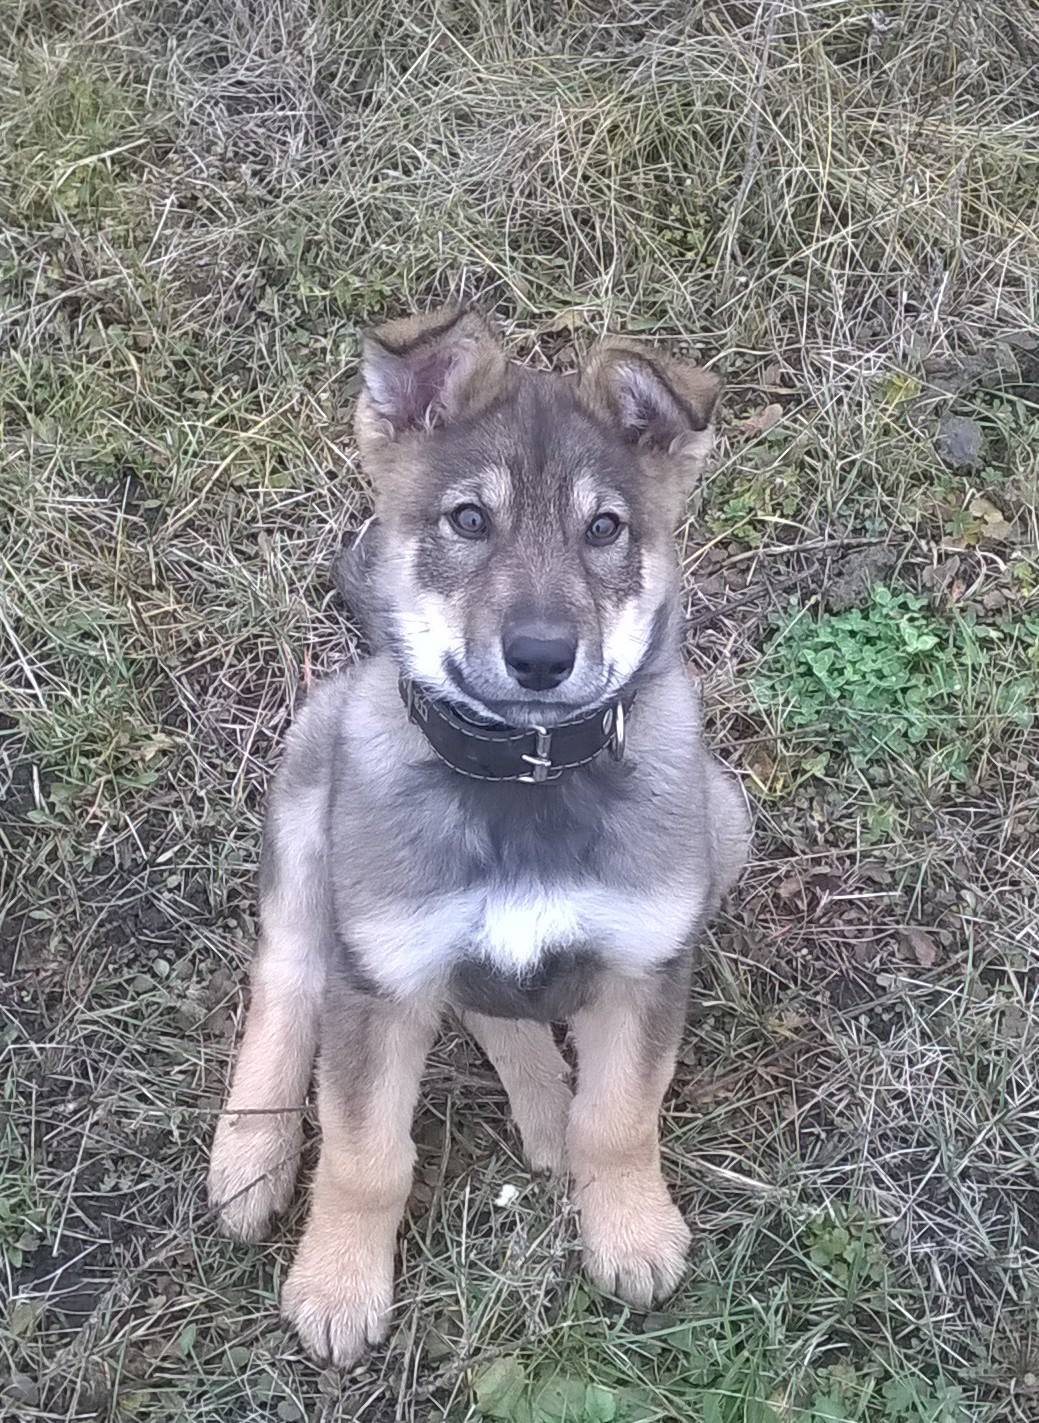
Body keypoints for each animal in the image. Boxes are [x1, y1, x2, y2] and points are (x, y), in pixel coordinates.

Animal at [207, 308, 745, 1366]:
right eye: (467, 520)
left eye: (604, 528)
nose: (541, 657)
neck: (523, 775)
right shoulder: (376, 980)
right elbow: (364, 1153)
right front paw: (336, 1286)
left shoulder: (645, 961)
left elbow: (620, 1116)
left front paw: (629, 1230)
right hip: (310, 808)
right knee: (287, 978)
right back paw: (250, 1155)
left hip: (725, 815)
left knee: (495, 1005)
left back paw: (547, 1109)